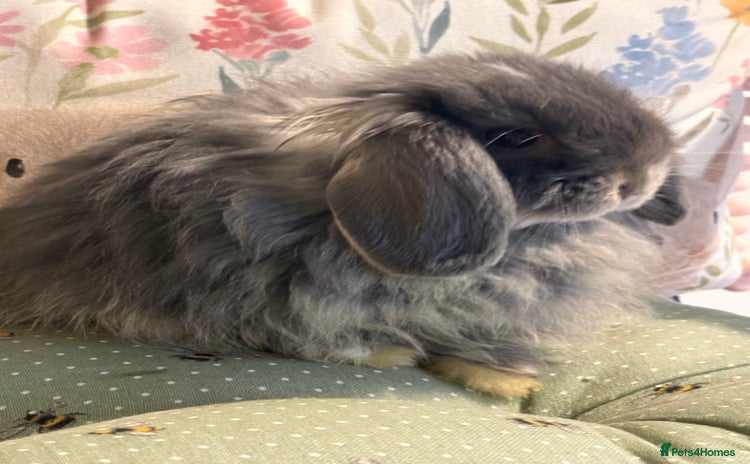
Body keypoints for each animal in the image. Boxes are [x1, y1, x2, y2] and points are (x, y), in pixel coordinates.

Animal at [0, 52, 686, 398]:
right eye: (520, 137)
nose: (647, 172)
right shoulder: (271, 294)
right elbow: (329, 336)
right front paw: (393, 356)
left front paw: (507, 376)